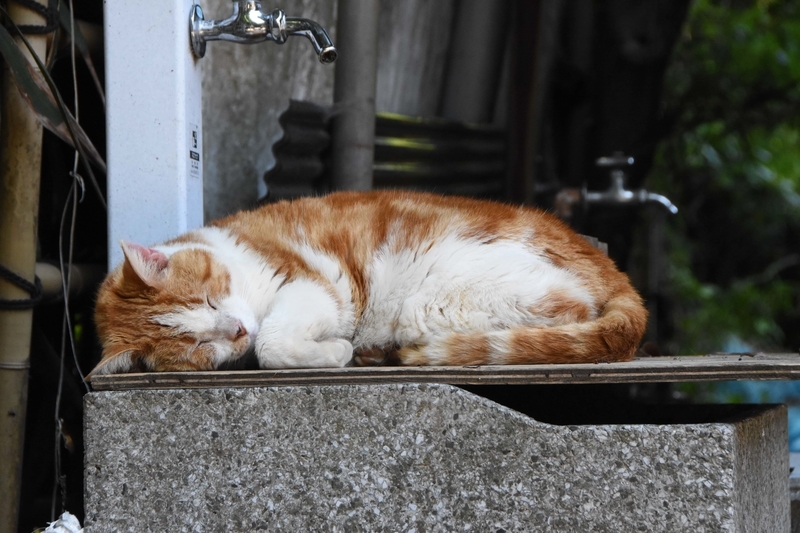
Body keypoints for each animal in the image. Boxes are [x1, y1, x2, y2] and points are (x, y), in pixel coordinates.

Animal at [89, 191, 648, 374]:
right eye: (198, 346)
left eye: (209, 299)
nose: (236, 331)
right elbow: (271, 346)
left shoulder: (313, 285)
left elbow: (274, 343)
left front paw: (334, 351)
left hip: (432, 298)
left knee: (568, 312)